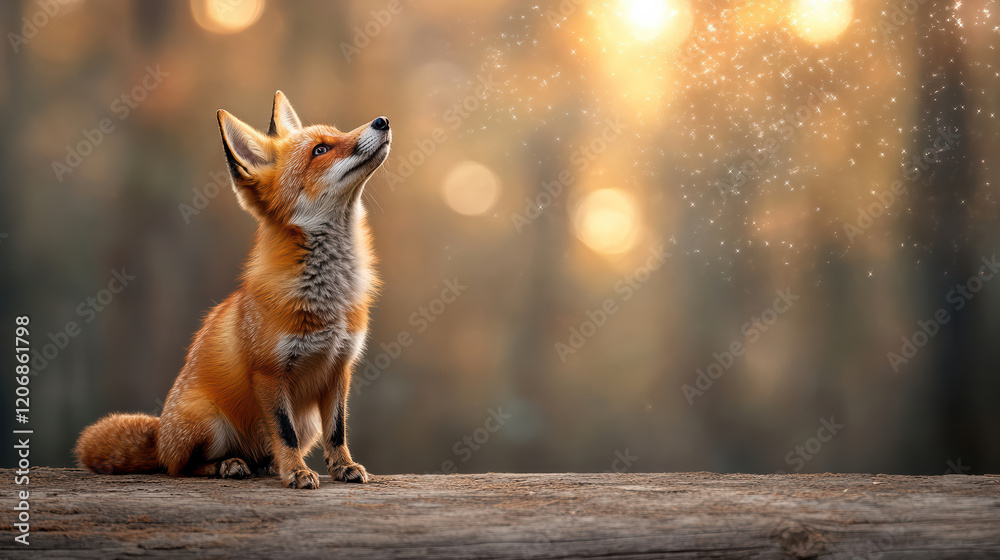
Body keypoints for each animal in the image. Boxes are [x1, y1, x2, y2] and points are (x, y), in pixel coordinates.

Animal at [74, 91, 391, 489]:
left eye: (337, 134)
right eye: (320, 149)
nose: (382, 121)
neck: (328, 297)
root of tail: (160, 434)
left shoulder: (338, 367)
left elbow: (337, 430)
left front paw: (342, 466)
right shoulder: (269, 373)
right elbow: (283, 432)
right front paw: (296, 473)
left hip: (306, 423)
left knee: (259, 455)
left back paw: (265, 465)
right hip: (209, 424)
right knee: (180, 467)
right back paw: (227, 465)